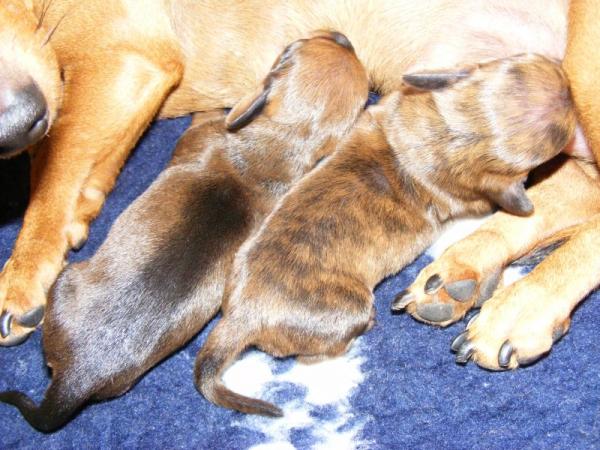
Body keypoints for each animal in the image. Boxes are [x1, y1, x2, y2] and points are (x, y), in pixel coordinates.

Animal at [0, 0, 575, 346]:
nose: (14, 124)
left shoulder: (126, 57)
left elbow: (54, 171)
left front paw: (20, 277)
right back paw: (468, 272)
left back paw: (521, 312)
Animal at [0, 33, 369, 432]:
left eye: (295, 47)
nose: (344, 37)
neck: (277, 145)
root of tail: (75, 380)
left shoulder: (200, 133)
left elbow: (203, 120)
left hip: (65, 281)